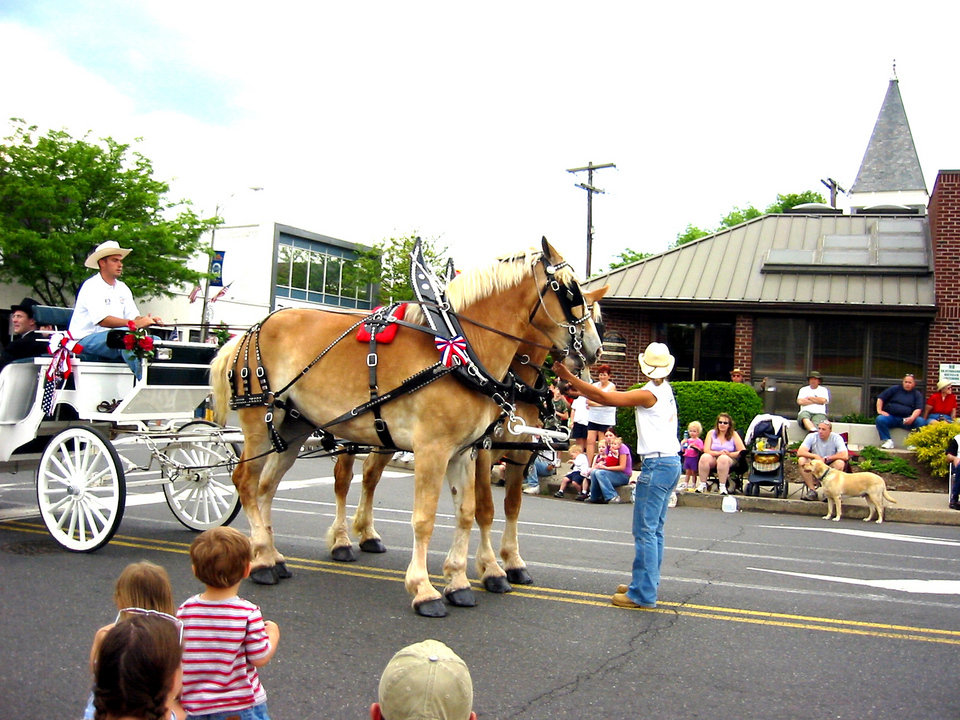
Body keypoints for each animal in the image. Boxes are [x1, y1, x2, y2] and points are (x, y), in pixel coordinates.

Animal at [326, 286, 604, 596]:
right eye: (577, 306)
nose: (593, 354)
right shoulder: (482, 451)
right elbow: (485, 509)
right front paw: (491, 568)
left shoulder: (519, 455)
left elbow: (512, 506)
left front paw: (513, 561)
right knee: (343, 479)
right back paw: (341, 541)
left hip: (385, 432)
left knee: (371, 475)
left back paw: (368, 534)